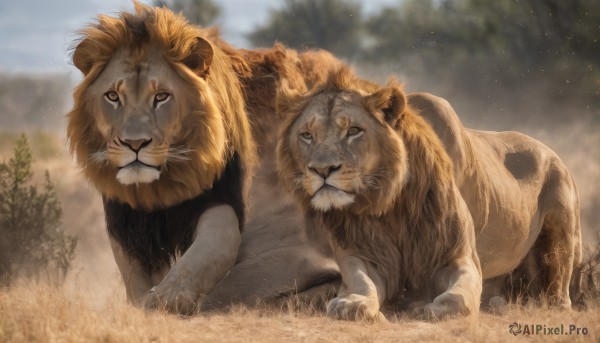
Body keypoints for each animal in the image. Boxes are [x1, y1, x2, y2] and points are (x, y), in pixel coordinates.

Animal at [276, 68, 482, 322]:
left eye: (353, 131)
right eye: (306, 135)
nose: (322, 169)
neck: (390, 205)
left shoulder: (458, 255)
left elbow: (461, 293)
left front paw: (433, 308)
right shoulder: (363, 255)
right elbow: (361, 282)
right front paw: (353, 303)